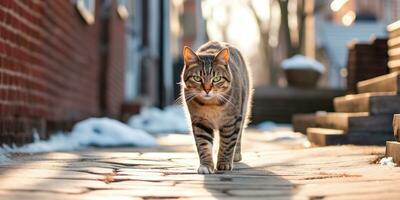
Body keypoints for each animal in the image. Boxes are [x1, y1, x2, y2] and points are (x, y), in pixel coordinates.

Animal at [182, 41, 253, 173]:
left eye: (216, 78)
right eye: (197, 78)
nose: (207, 89)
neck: (212, 105)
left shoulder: (231, 121)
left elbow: (227, 142)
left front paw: (224, 163)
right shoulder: (200, 122)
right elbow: (203, 144)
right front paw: (206, 165)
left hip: (244, 108)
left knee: (239, 134)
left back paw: (236, 155)